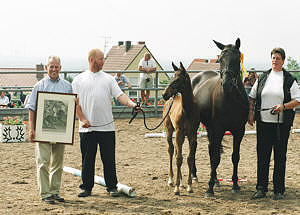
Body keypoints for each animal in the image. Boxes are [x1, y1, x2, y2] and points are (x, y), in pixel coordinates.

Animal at [161, 62, 200, 195]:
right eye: (172, 77)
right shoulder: (179, 133)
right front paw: (177, 188)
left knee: (178, 152)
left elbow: (189, 158)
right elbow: (178, 159)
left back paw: (182, 182)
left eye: (178, 79)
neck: (188, 111)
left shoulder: (192, 135)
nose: (164, 94)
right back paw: (171, 180)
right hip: (169, 130)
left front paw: (189, 185)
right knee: (171, 151)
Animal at [191, 38, 250, 197]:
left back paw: (216, 179)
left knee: (211, 149)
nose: (227, 84)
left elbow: (235, 157)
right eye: (220, 60)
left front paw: (235, 184)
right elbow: (216, 157)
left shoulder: (239, 131)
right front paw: (209, 188)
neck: (230, 99)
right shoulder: (218, 129)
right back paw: (194, 175)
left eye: (236, 58)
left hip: (210, 129)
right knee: (196, 146)